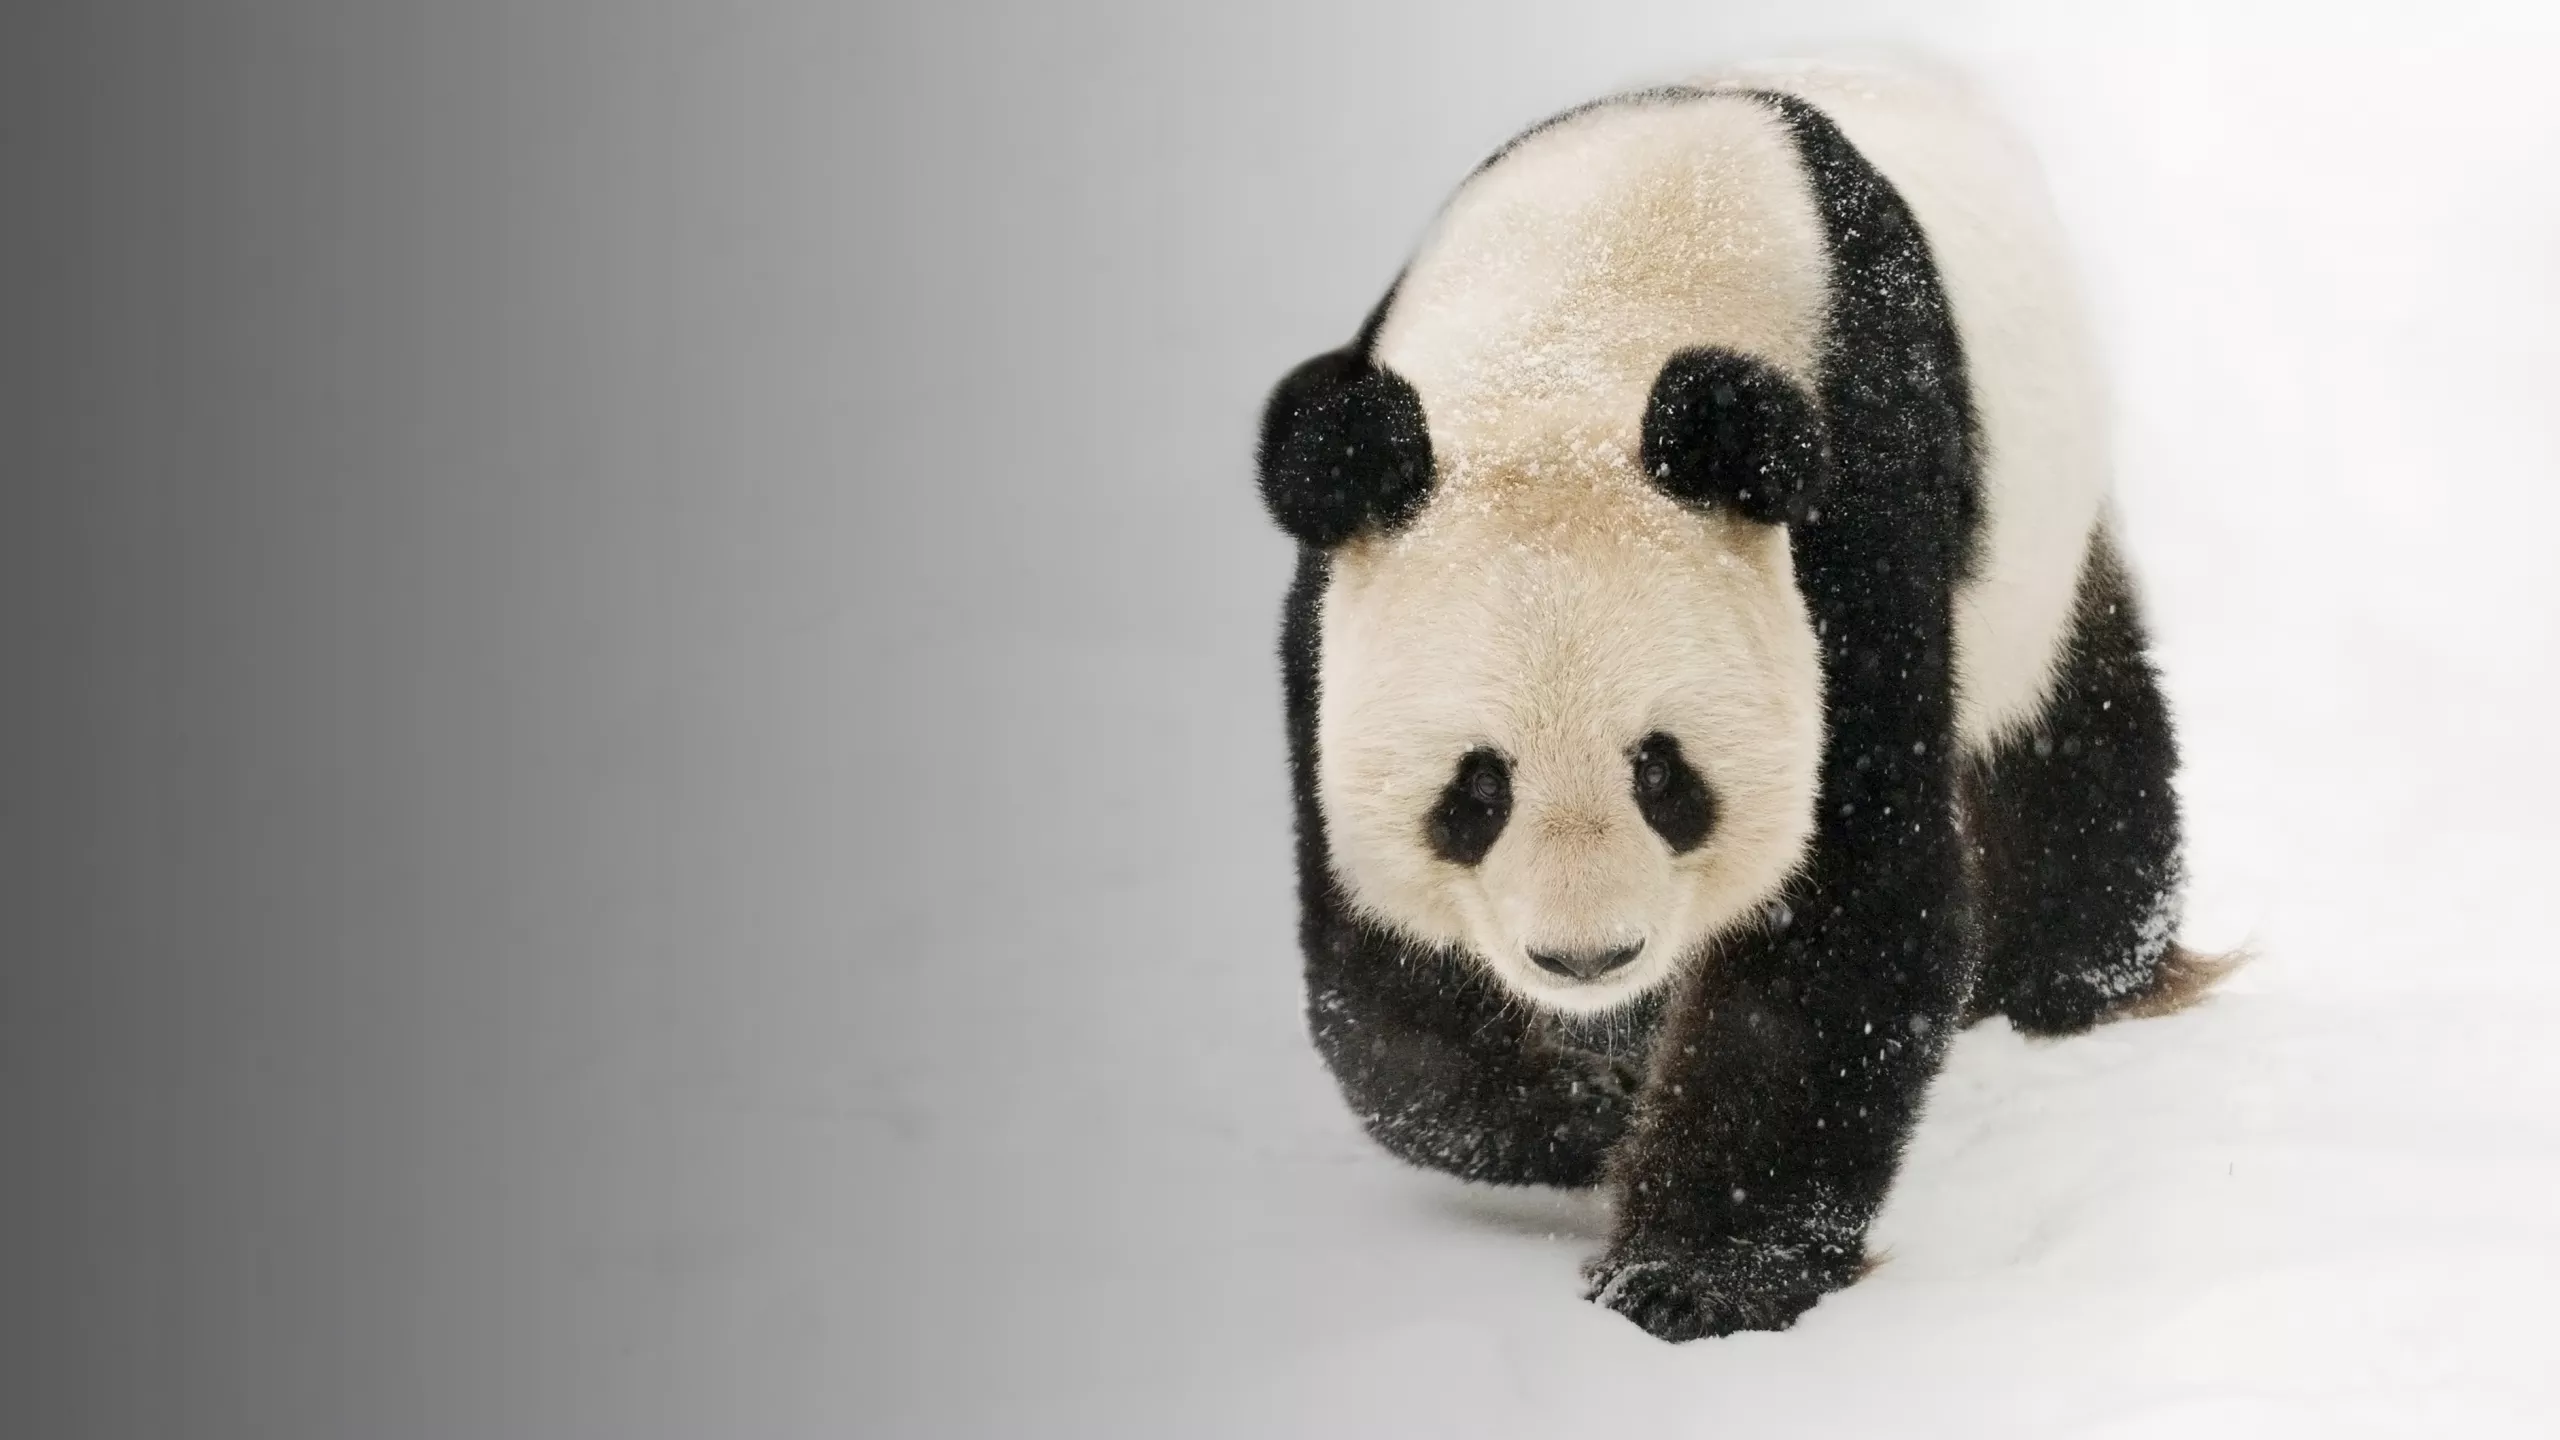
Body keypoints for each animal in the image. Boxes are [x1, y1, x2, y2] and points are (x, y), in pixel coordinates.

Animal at [1254, 58, 2224, 1342]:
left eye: (1663, 772)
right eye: (1475, 790)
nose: (1586, 958)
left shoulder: (1849, 521)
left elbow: (1835, 904)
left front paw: (1693, 1272)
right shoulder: (1335, 604)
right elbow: (1378, 967)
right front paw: (1581, 1113)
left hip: (2042, 534)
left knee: (2067, 727)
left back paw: (2071, 974)